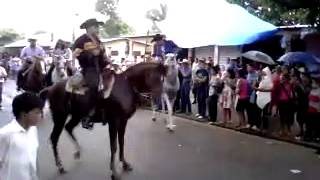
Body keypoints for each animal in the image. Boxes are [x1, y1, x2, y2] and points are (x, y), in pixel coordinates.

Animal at [39, 62, 168, 180]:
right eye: (157, 78)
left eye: (163, 78)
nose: (162, 97)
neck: (126, 86)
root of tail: (51, 88)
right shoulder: (114, 122)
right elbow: (114, 146)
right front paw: (114, 172)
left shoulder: (123, 121)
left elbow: (122, 142)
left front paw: (125, 164)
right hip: (59, 117)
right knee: (54, 138)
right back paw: (60, 166)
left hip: (76, 116)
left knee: (68, 128)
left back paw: (78, 152)